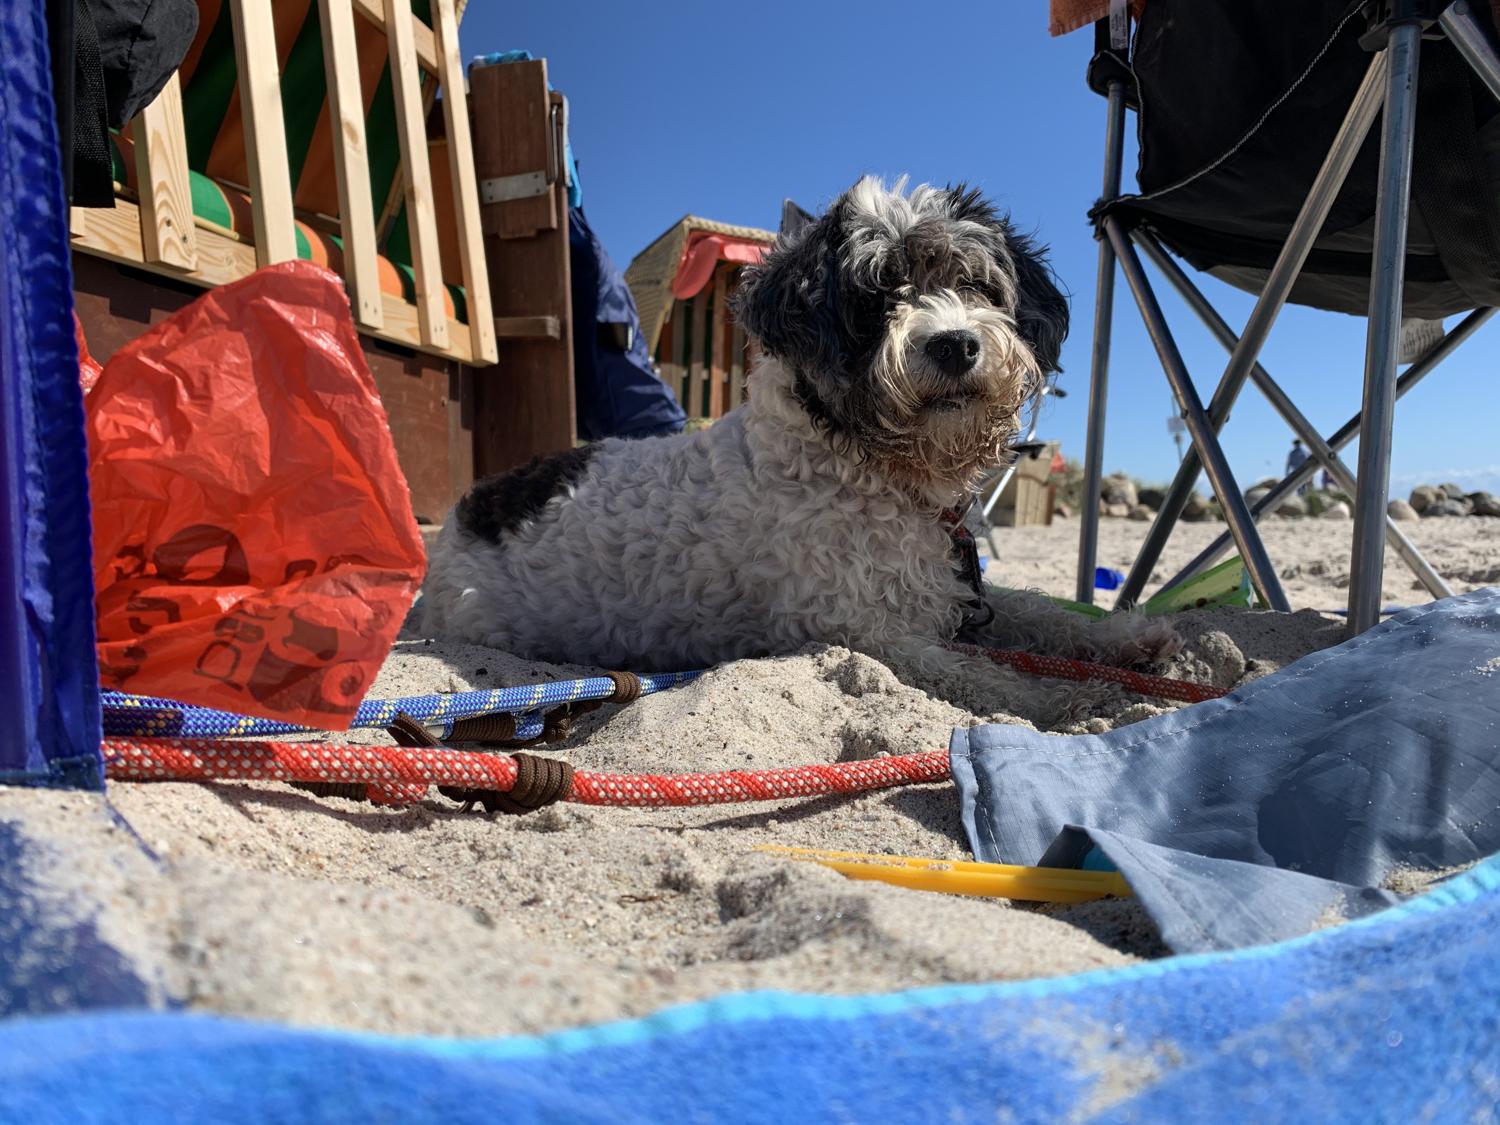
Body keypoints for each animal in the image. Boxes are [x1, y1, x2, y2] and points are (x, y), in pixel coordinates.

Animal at [417, 176, 1176, 723]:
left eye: (974, 283)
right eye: (876, 299)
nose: (956, 344)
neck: (860, 462)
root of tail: (463, 514)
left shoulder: (958, 588)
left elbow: (1041, 611)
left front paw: (1125, 642)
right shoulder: (863, 630)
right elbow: (976, 673)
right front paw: (1065, 699)